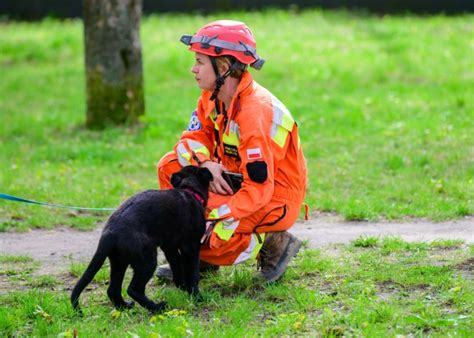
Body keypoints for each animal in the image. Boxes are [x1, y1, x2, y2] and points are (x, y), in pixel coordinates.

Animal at [70, 165, 211, 312]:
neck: (189, 190)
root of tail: (110, 233)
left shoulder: (169, 247)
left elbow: (177, 266)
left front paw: (182, 286)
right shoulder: (191, 246)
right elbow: (193, 273)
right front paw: (197, 297)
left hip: (119, 260)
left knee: (113, 290)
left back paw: (125, 306)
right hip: (146, 260)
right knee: (133, 289)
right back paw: (157, 307)